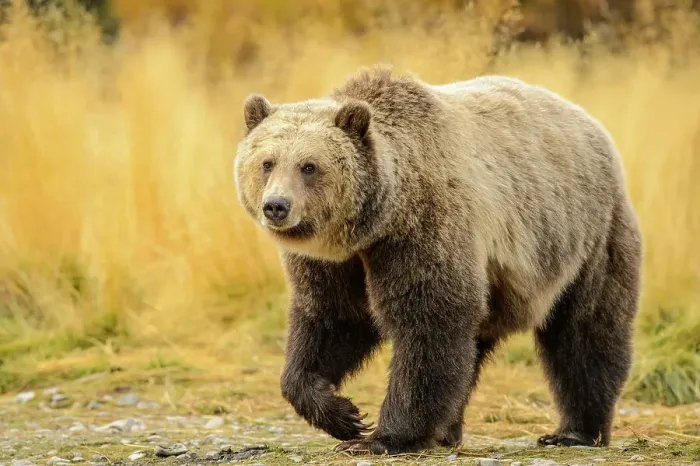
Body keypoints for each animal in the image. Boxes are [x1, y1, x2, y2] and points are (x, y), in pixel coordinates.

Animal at [233, 65, 643, 455]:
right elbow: (332, 319)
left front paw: (382, 437)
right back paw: (448, 431)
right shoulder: (335, 263)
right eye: (267, 162)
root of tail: (590, 122)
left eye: (309, 166)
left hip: (587, 234)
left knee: (585, 331)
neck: (375, 223)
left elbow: (429, 322)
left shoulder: (424, 229)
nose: (276, 206)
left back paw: (575, 431)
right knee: (476, 348)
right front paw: (341, 414)